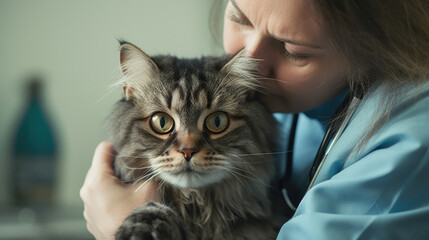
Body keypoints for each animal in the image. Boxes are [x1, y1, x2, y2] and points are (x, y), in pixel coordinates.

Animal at [108, 41, 280, 240]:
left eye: (217, 121)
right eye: (161, 122)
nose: (187, 150)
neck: (197, 208)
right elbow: (152, 209)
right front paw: (142, 230)